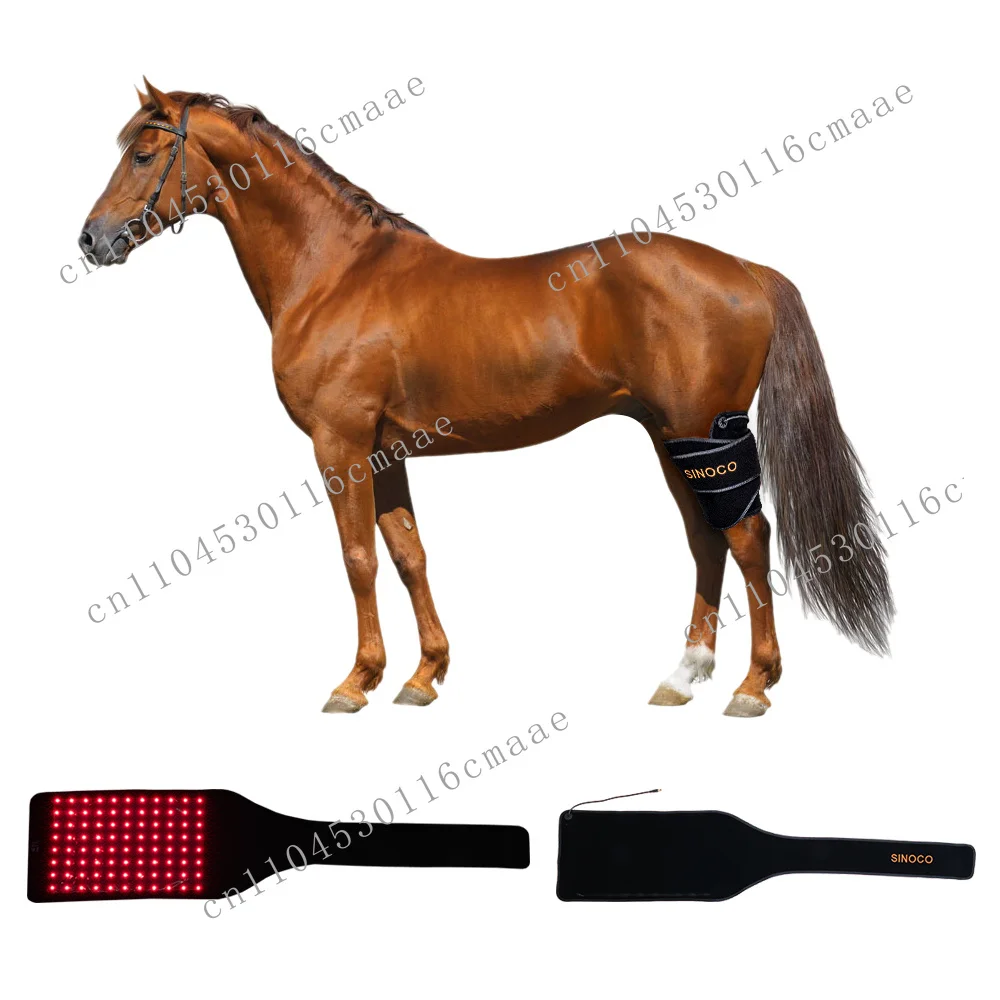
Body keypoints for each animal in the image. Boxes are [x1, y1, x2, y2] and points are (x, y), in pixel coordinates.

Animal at [79, 81, 893, 717]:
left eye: (142, 153)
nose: (91, 240)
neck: (335, 272)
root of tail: (748, 270)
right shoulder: (385, 453)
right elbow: (408, 555)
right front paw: (423, 675)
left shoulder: (340, 443)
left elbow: (358, 558)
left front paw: (356, 681)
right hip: (674, 439)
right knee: (706, 539)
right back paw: (682, 677)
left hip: (702, 432)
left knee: (748, 537)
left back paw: (753, 687)